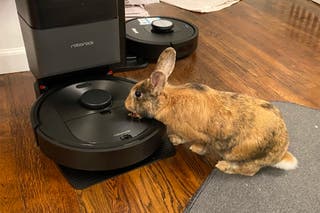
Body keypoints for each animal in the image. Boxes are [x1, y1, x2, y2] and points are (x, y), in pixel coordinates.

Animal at [124, 47, 298, 176]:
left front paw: (186, 145)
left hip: (244, 156)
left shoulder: (199, 135)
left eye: (137, 94)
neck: (167, 102)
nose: (125, 104)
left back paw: (223, 166)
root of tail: (281, 153)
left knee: (249, 171)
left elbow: (199, 143)